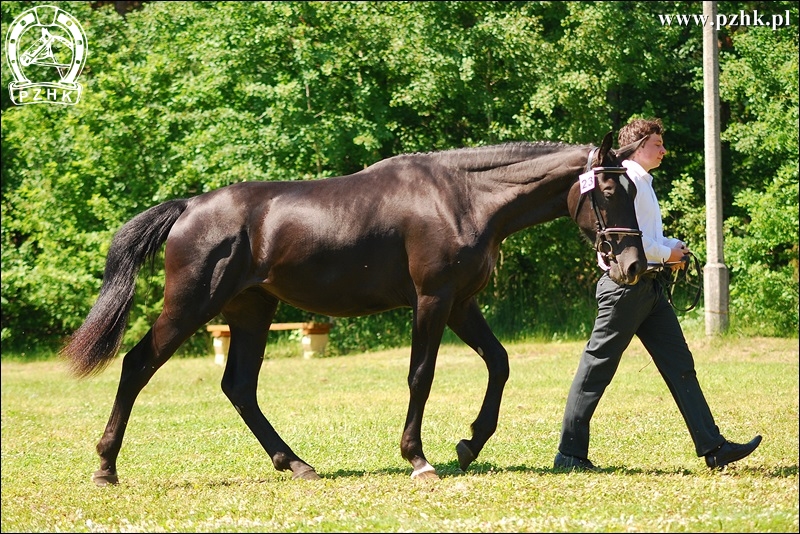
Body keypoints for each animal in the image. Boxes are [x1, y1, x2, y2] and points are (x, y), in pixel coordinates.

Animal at [59, 131, 648, 486]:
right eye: (610, 190)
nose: (634, 265)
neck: (463, 197)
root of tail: (189, 207)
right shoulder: (432, 300)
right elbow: (421, 375)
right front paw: (419, 459)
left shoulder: (462, 302)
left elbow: (499, 363)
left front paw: (468, 445)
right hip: (191, 306)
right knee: (137, 365)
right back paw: (106, 467)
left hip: (251, 310)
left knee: (239, 387)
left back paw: (295, 463)